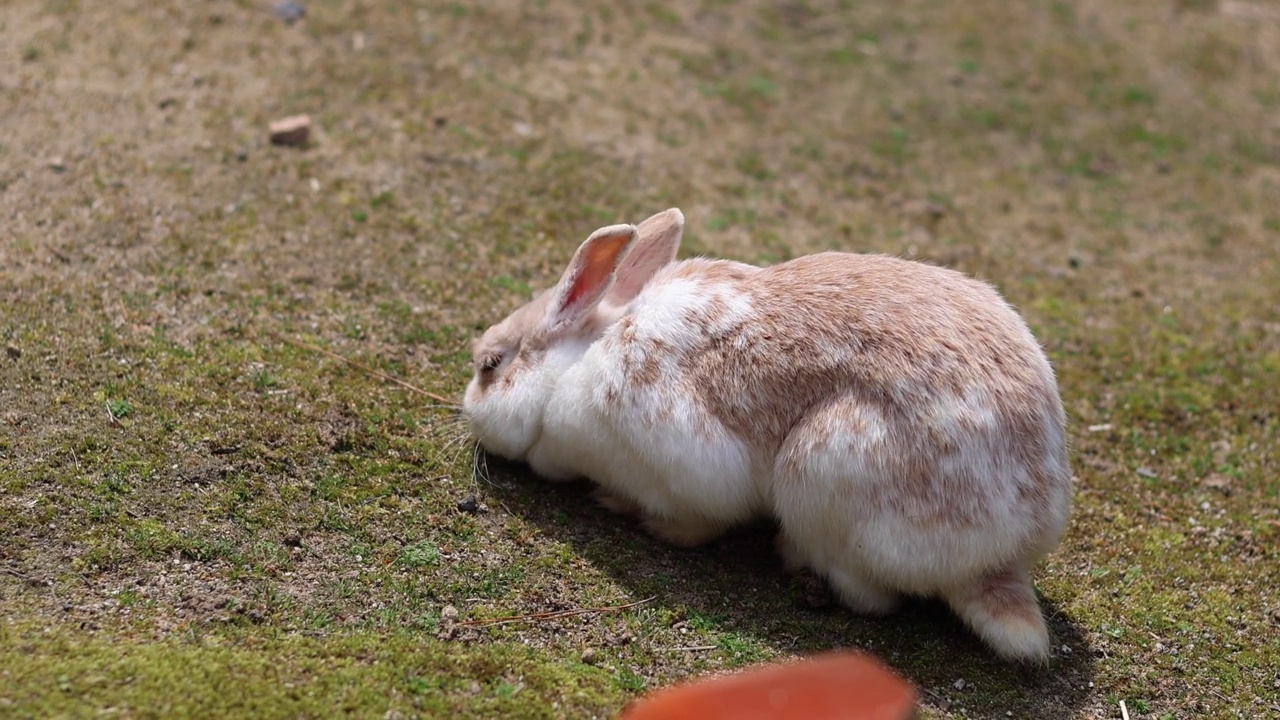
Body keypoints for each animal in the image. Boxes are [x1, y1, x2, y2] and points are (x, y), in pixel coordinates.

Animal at [465, 204, 1075, 661]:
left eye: (490, 365)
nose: (467, 412)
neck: (581, 358)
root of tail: (1004, 555)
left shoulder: (688, 471)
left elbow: (695, 521)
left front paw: (629, 511)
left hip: (822, 472)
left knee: (870, 596)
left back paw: (792, 555)